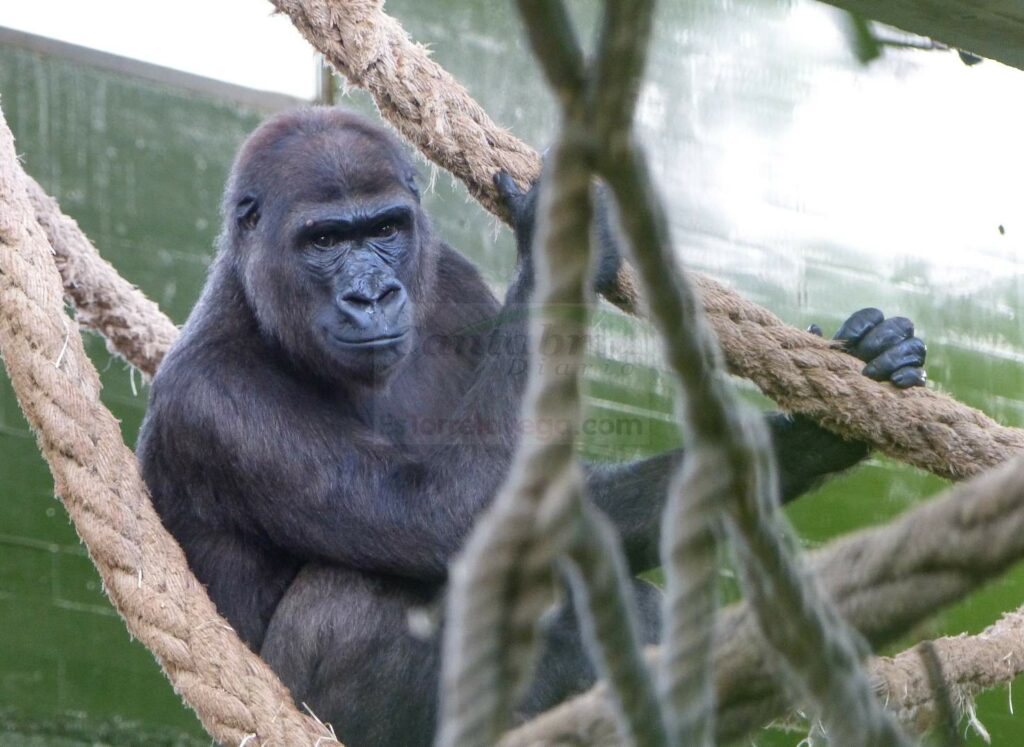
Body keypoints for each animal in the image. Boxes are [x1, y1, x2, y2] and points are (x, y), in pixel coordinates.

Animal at [136, 106, 929, 745]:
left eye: (386, 229)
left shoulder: (451, 281)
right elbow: (455, 508)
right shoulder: (217, 402)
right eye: (324, 241)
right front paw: (563, 235)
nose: (373, 295)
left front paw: (813, 433)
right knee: (359, 598)